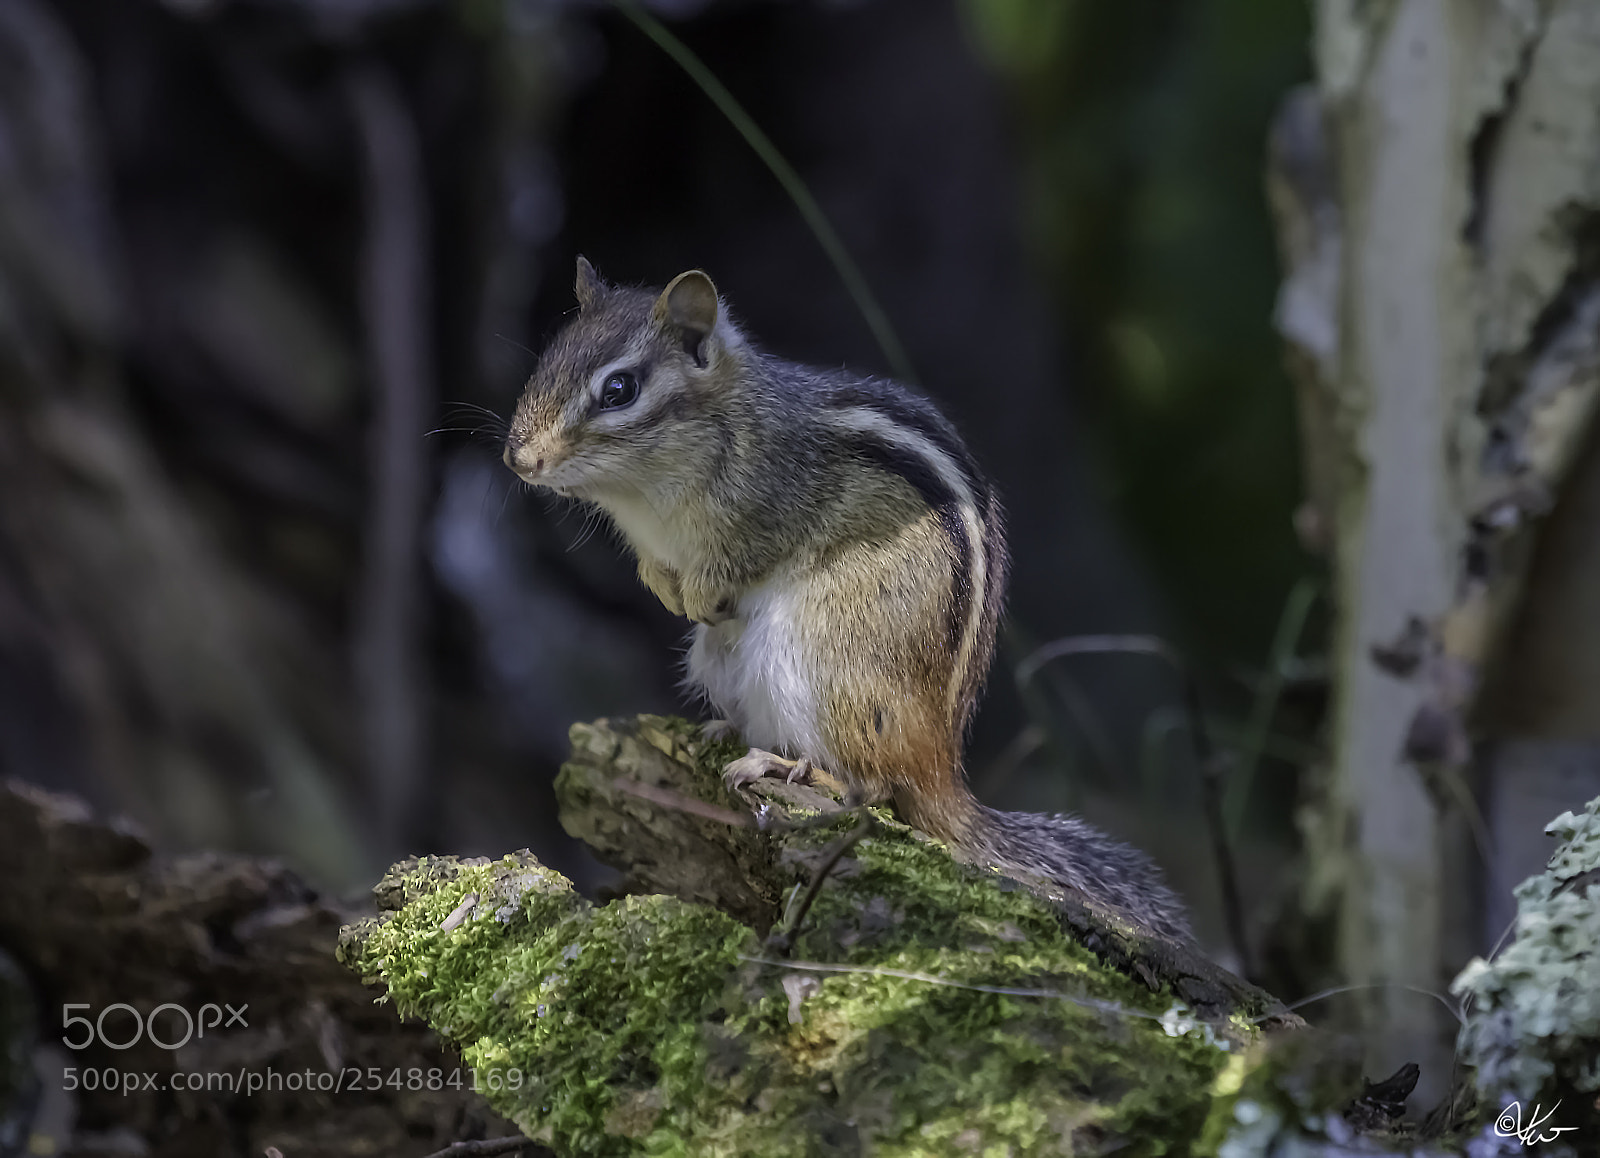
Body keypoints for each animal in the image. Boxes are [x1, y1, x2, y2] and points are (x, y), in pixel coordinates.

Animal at [504, 257, 1191, 941]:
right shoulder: (654, 542)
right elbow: (656, 569)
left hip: (827, 658)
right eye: (548, 356)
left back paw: (793, 769)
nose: (519, 459)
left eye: (619, 390)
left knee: (876, 788)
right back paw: (727, 731)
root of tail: (940, 764)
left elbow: (738, 558)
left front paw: (698, 592)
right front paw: (669, 592)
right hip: (722, 660)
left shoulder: (767, 506)